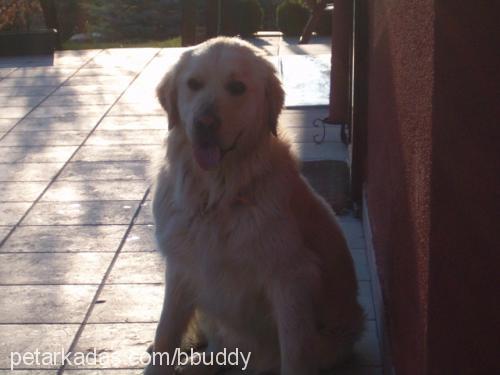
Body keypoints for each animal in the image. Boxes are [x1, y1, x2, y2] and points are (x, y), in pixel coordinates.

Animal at [145, 36, 364, 375]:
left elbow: (293, 354)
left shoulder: (290, 279)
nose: (204, 123)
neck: (217, 194)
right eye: (193, 84)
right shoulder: (182, 268)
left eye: (237, 87)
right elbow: (165, 332)